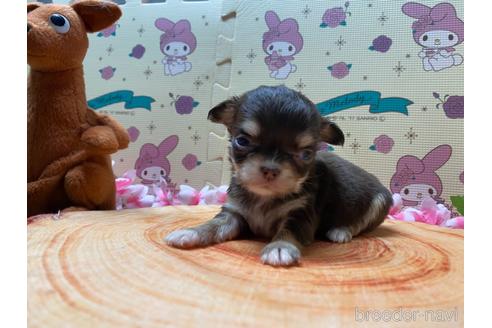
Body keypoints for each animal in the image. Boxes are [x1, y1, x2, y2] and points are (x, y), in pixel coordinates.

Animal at [165, 86, 392, 266]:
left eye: (306, 154)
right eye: (242, 141)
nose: (270, 169)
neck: (264, 197)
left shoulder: (300, 214)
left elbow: (289, 231)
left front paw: (279, 248)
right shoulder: (233, 213)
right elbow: (213, 225)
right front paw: (191, 232)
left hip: (381, 201)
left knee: (360, 224)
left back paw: (341, 231)